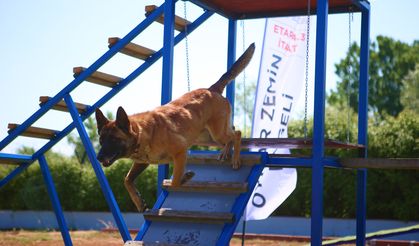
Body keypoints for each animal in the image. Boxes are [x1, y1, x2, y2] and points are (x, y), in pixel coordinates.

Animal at [95, 43, 256, 212]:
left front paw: (185, 178)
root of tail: (211, 89)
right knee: (231, 134)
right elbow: (127, 180)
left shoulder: (181, 151)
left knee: (237, 134)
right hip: (208, 137)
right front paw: (139, 202)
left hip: (216, 133)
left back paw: (236, 158)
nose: (99, 157)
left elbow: (174, 182)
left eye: (114, 139)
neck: (143, 134)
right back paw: (225, 153)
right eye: (101, 140)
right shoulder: (142, 162)